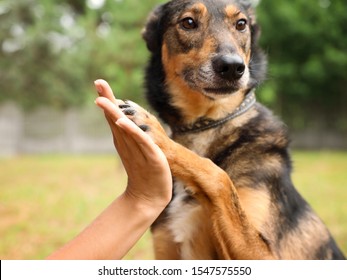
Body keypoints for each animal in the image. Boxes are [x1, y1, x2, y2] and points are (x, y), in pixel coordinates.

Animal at [117, 0, 346, 260]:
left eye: (241, 24)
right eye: (188, 22)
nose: (232, 67)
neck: (207, 124)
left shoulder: (267, 255)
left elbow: (218, 175)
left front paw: (156, 132)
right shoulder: (166, 247)